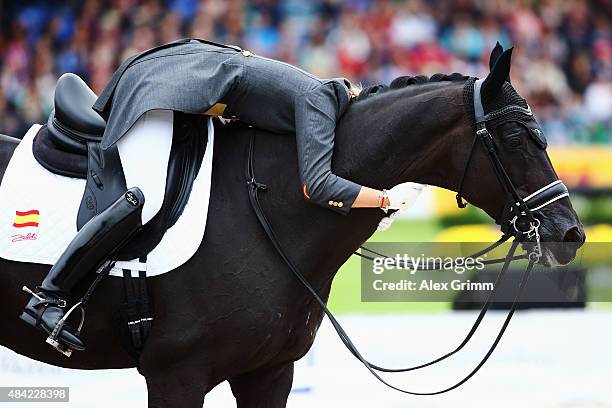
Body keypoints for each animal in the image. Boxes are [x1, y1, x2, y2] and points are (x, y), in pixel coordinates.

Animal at [0, 46, 584, 406]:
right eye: (518, 139)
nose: (570, 234)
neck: (267, 217)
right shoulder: (176, 373)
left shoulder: (269, 373)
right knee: (133, 199)